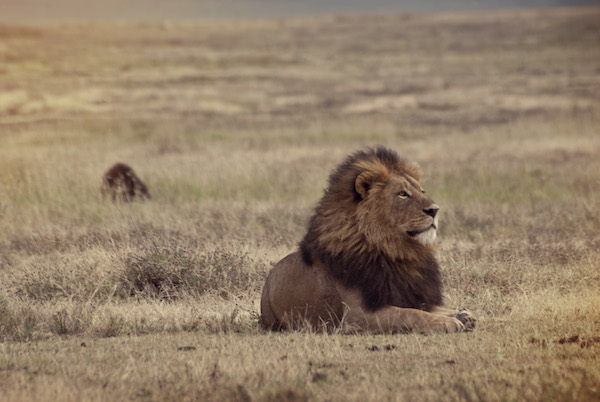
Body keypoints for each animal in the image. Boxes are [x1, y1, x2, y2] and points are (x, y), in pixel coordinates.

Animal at [260, 147, 476, 332]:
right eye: (403, 194)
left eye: (422, 191)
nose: (435, 210)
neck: (395, 252)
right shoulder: (357, 315)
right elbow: (410, 314)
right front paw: (447, 322)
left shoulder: (408, 294)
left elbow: (427, 308)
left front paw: (462, 314)